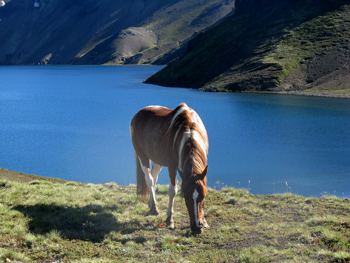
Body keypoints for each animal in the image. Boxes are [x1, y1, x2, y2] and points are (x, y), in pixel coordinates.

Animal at [130, 103, 209, 235]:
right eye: (186, 196)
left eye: (202, 197)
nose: (197, 228)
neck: (189, 131)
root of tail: (137, 115)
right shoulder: (172, 166)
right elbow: (172, 191)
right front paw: (169, 219)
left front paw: (204, 220)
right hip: (142, 156)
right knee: (149, 180)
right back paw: (154, 208)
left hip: (157, 159)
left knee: (154, 178)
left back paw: (151, 203)